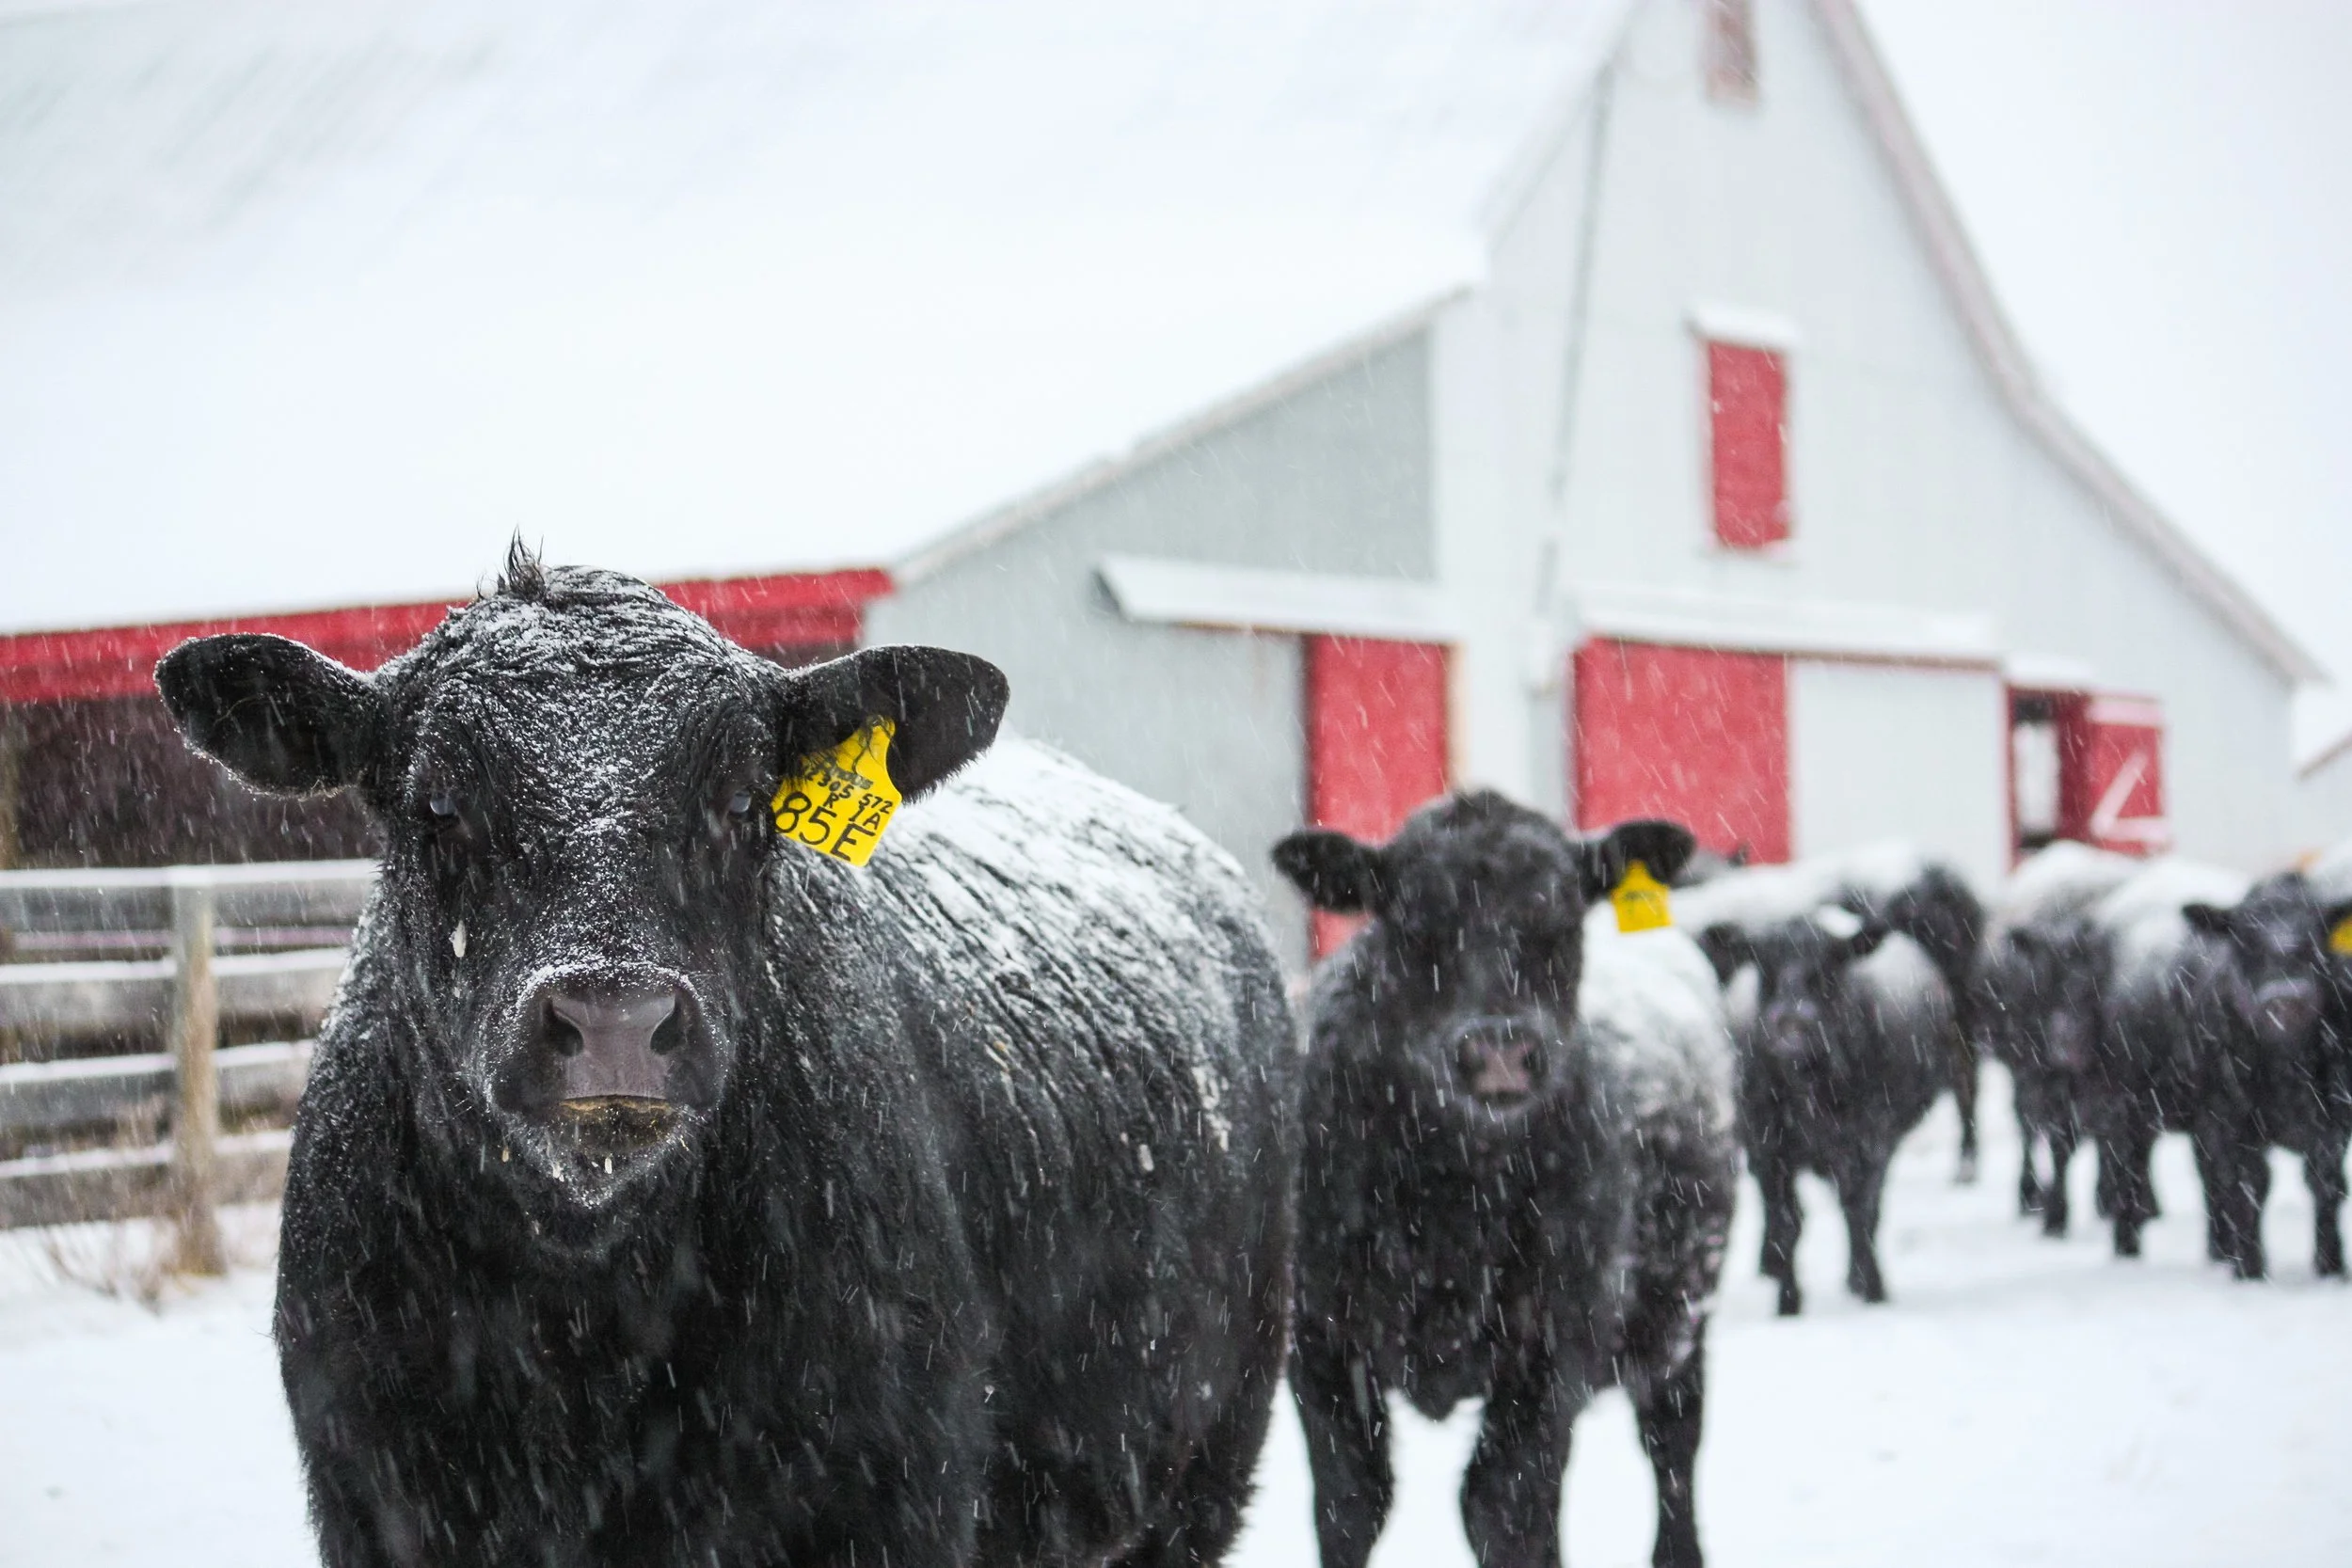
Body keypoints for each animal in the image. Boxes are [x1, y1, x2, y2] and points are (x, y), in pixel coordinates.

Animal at [155, 553, 1299, 1568]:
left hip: (1206, 1464)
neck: (582, 1316)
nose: (616, 1015)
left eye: (746, 801)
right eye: (434, 803)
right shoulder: (378, 1498)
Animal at [1273, 796, 1736, 1568]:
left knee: (1672, 1440)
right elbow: (1351, 1501)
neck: (1447, 1205)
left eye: (1563, 921)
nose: (1499, 1050)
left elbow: (1503, 1504)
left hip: (1680, 1309)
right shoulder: (1316, 1334)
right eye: (1410, 924)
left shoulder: (1558, 1338)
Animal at [1696, 912, 1953, 1316]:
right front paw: (1788, 1303)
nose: (1792, 1026)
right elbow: (1789, 1225)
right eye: (1764, 965)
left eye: (1829, 967)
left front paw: (1873, 1289)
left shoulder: (1870, 1140)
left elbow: (1862, 1213)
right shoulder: (1768, 1150)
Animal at [2181, 873, 2352, 1278]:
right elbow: (2249, 1186)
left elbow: (2327, 1183)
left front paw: (2331, 1267)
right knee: (2215, 1184)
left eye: (2318, 936)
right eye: (2244, 939)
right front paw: (2250, 1270)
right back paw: (2222, 1253)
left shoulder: (2335, 1115)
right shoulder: (2231, 1117)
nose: (2287, 998)